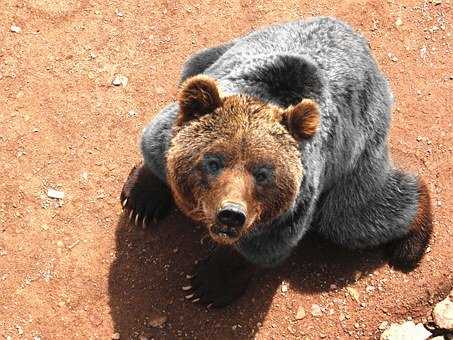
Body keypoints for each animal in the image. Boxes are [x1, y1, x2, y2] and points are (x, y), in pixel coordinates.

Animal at [119, 16, 430, 308]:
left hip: (358, 144)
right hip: (217, 51)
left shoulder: (295, 200)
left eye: (263, 174)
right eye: (213, 162)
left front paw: (208, 285)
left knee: (351, 215)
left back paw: (411, 242)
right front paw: (141, 201)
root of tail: (354, 36)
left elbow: (263, 245)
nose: (230, 214)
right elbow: (156, 146)